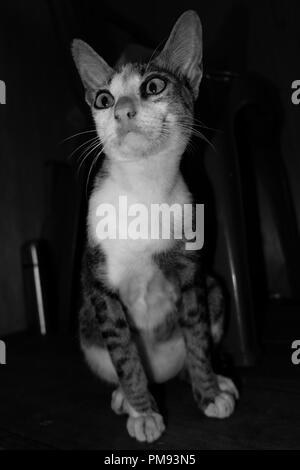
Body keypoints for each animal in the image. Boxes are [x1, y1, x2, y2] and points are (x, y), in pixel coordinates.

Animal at [71, 11, 238, 444]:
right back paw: (125, 399)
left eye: (154, 85)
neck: (143, 189)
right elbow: (124, 352)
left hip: (214, 289)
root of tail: (160, 374)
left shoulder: (191, 274)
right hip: (85, 322)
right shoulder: (101, 286)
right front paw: (144, 412)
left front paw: (208, 391)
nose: (122, 110)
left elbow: (197, 336)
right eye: (103, 98)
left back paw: (212, 379)